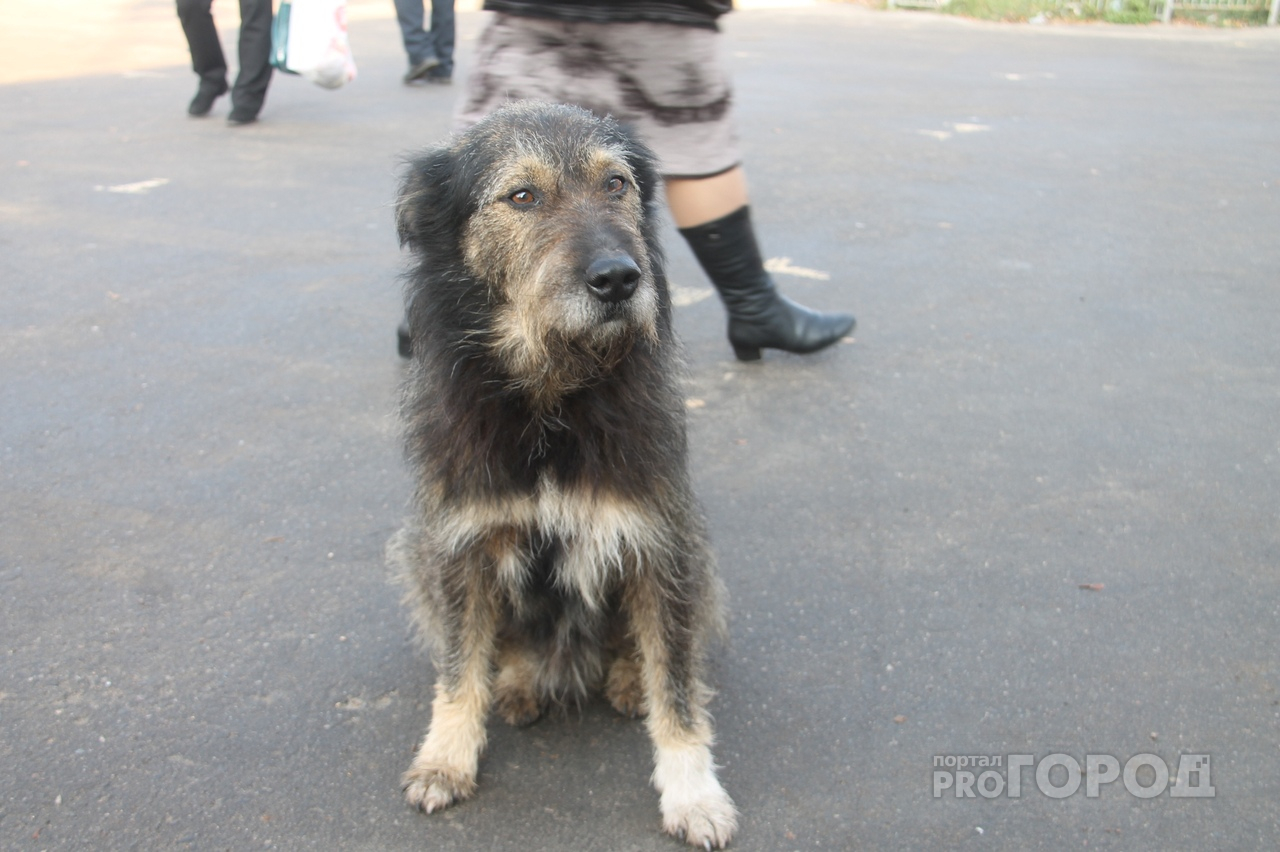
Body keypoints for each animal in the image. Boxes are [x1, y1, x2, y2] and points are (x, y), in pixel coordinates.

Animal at [384, 101, 737, 844]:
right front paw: (445, 758)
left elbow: (678, 684)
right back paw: (517, 681)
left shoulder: (663, 544)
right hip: (411, 550)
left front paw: (693, 791)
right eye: (522, 196)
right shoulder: (458, 545)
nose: (619, 279)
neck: (553, 397)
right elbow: (458, 667)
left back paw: (626, 677)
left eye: (616, 183)